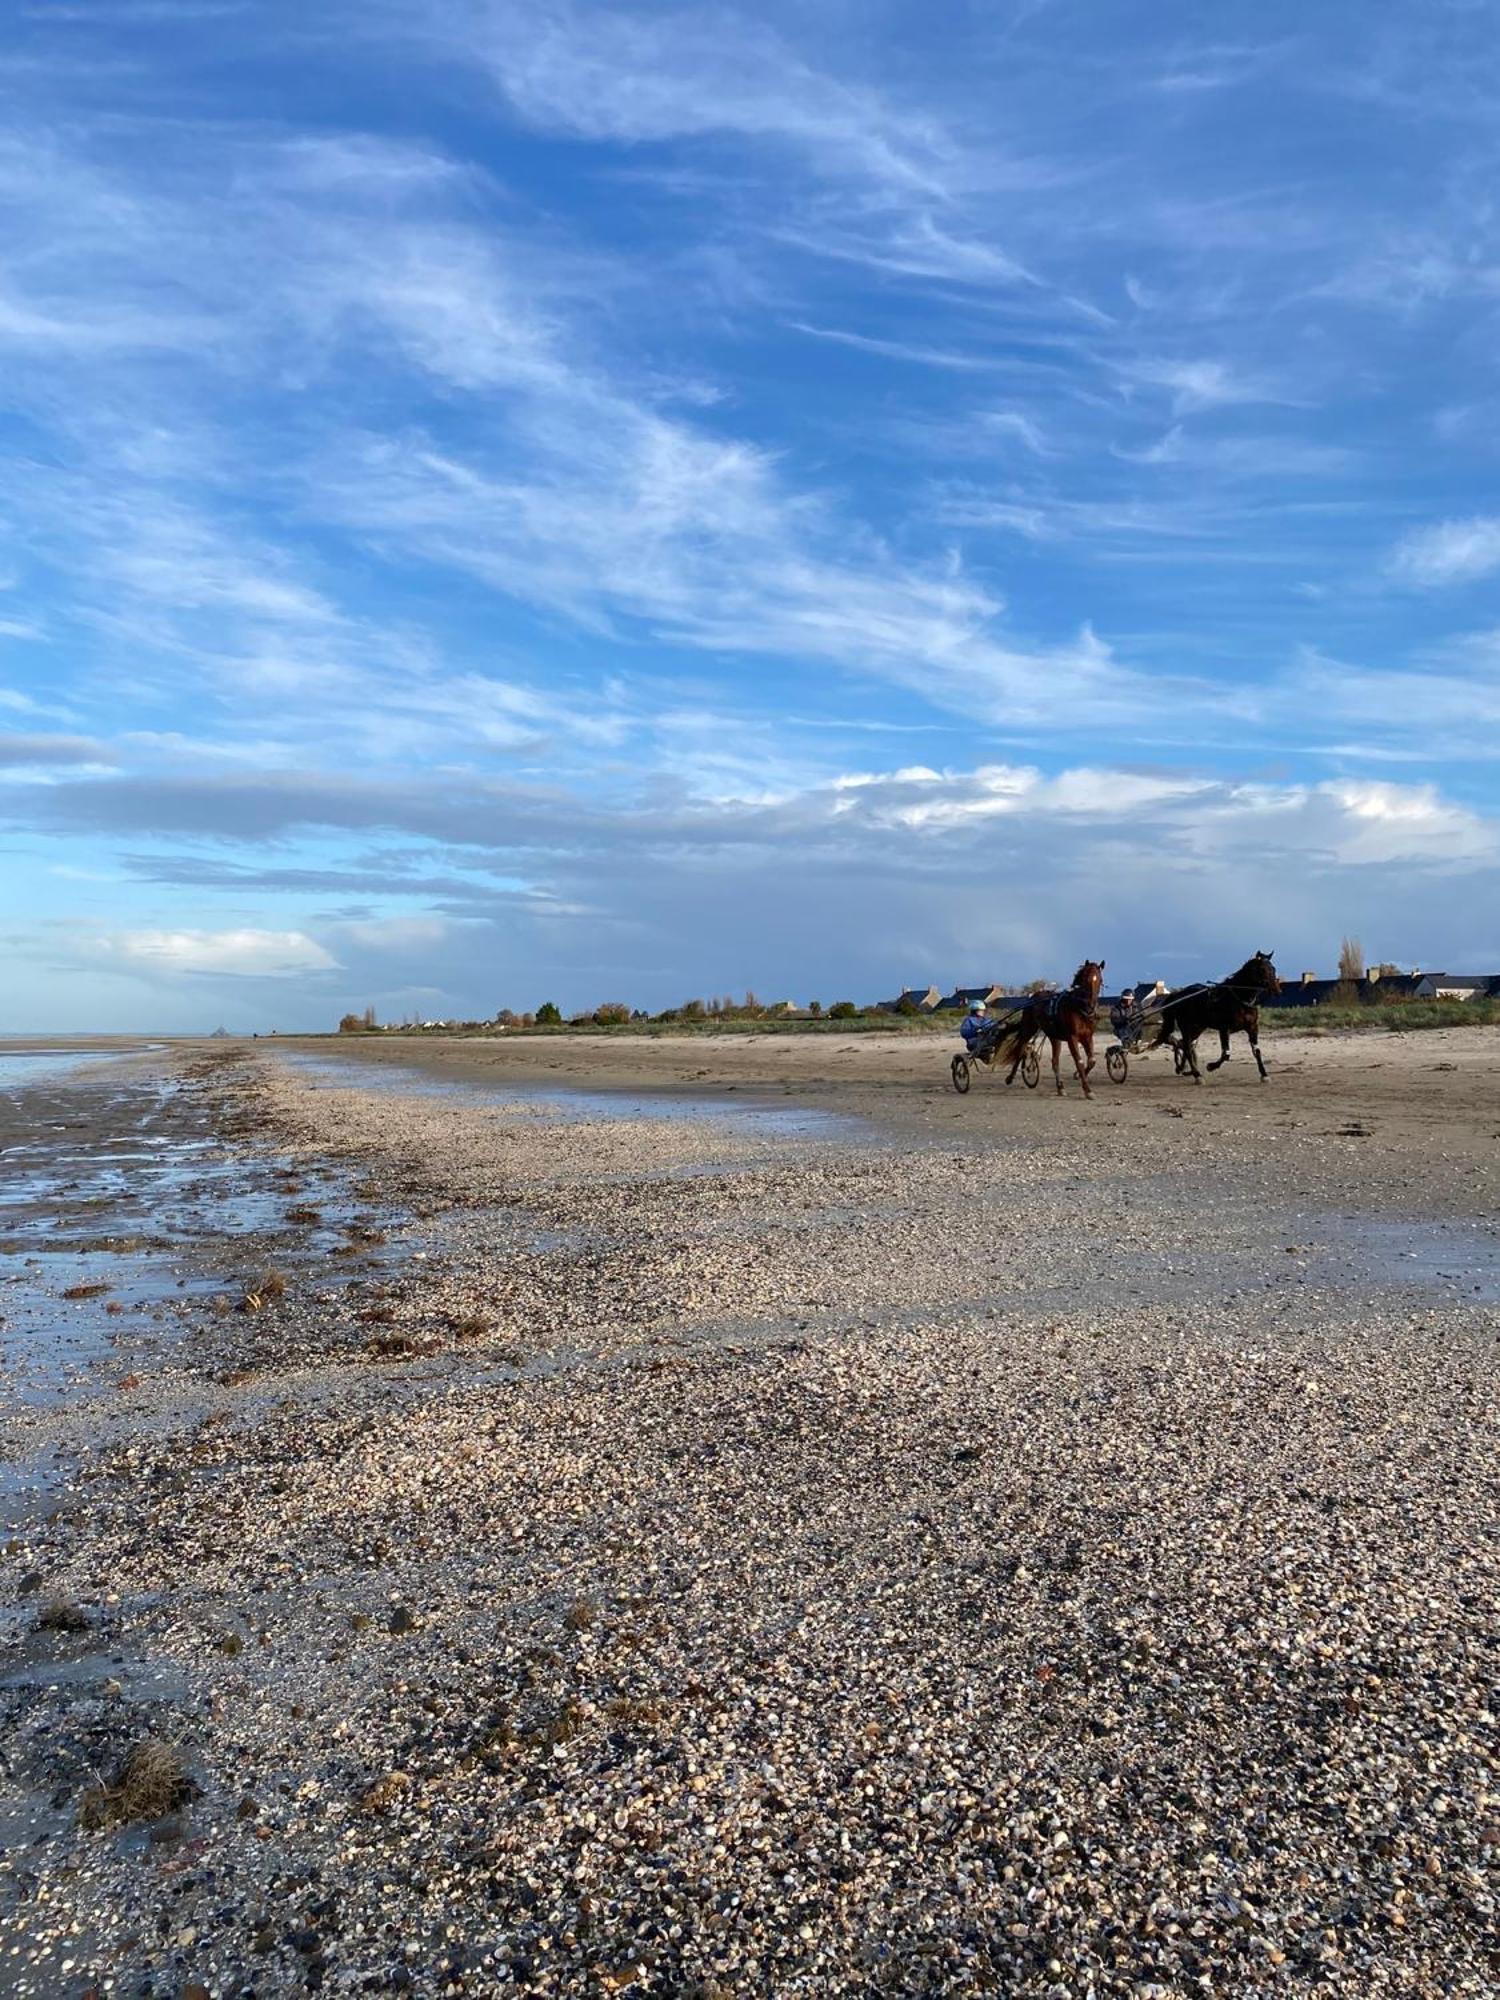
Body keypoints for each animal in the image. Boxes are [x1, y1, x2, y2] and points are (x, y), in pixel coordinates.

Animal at [1000, 960, 1104, 1104]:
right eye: (1085, 979)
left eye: (1099, 980)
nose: (1091, 1005)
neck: (1079, 1008)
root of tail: (1033, 996)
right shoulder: (1072, 1038)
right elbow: (1079, 1061)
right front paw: (1088, 1090)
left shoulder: (1087, 1037)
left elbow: (1092, 1060)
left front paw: (1077, 1075)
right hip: (1029, 1028)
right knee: (1021, 1049)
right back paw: (1010, 1077)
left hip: (1055, 1037)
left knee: (1055, 1061)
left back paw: (1060, 1087)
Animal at [1152, 948, 1280, 1080]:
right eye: (1263, 969)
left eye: (1273, 968)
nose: (1276, 989)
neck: (1240, 999)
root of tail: (1178, 995)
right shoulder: (1224, 1028)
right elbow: (1226, 1054)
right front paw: (1211, 1066)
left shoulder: (1252, 1027)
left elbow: (1257, 1051)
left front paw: (1264, 1075)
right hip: (1186, 1026)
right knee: (1186, 1047)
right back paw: (1196, 1074)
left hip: (1198, 1027)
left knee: (1183, 1044)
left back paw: (1184, 1069)